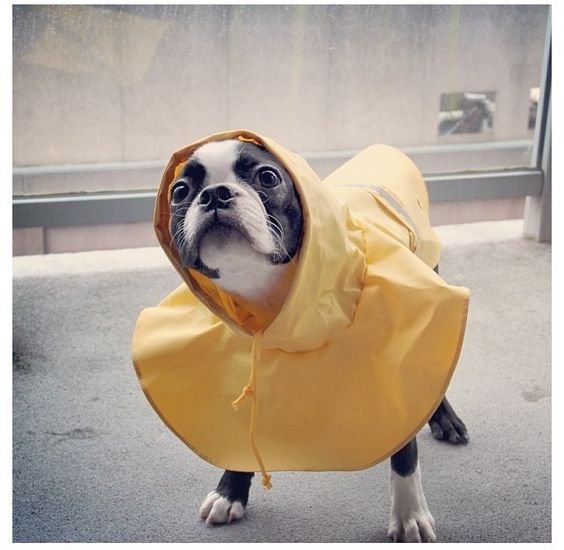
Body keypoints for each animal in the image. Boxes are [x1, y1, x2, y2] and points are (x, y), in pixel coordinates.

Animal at [166, 138, 468, 544]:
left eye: (267, 176)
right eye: (180, 192)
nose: (215, 194)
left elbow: (405, 449)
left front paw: (409, 517)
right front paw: (231, 491)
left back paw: (445, 419)